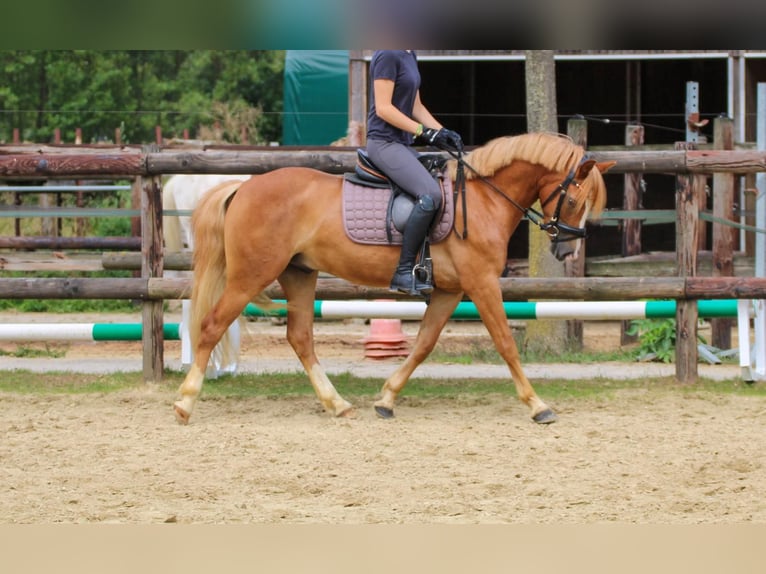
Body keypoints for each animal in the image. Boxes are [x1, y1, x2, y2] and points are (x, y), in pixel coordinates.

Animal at [173, 132, 614, 425]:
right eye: (574, 199)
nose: (567, 251)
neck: (484, 199)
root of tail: (242, 187)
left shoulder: (450, 291)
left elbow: (423, 345)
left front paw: (386, 398)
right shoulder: (481, 283)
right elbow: (506, 343)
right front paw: (538, 405)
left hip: (298, 274)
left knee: (300, 338)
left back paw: (336, 403)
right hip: (251, 275)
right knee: (211, 326)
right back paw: (185, 403)